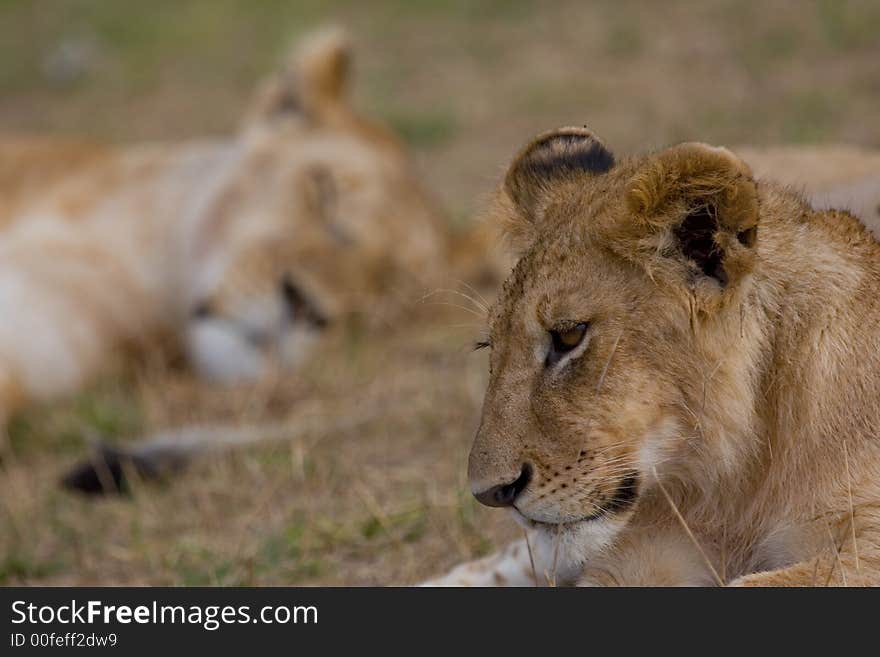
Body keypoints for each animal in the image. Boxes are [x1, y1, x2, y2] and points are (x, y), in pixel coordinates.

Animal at [424, 127, 880, 584]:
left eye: (569, 336)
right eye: (489, 347)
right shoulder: (642, 552)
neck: (736, 482)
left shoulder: (864, 548)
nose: (491, 494)